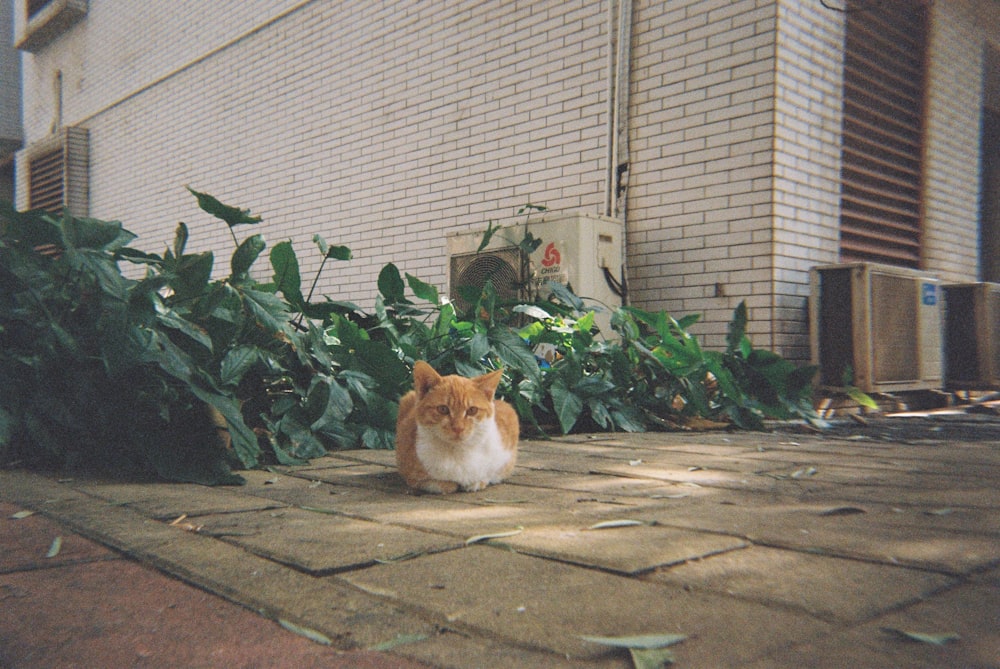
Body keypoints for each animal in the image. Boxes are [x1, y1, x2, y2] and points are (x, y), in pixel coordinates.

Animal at [394, 362, 520, 494]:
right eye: (443, 409)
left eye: (472, 410)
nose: (458, 428)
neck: (458, 452)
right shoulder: (410, 474)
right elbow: (437, 483)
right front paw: (449, 484)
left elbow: (488, 475)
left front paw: (476, 482)